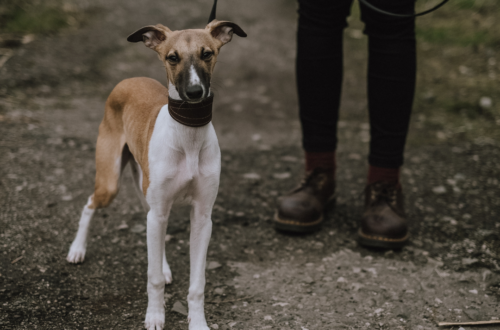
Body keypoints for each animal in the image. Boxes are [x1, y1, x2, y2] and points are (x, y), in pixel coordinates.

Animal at [66, 18, 246, 330]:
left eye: (207, 53)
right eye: (172, 57)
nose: (194, 93)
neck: (188, 135)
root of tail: (128, 79)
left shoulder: (202, 217)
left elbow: (197, 283)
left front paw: (198, 322)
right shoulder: (160, 208)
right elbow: (153, 278)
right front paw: (154, 316)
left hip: (148, 193)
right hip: (110, 182)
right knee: (90, 204)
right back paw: (77, 249)